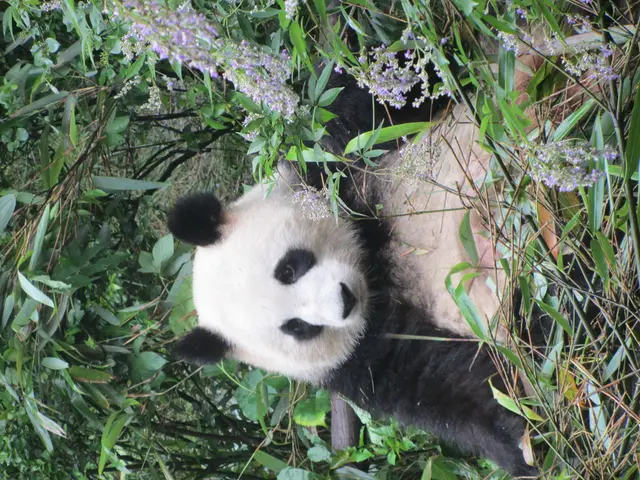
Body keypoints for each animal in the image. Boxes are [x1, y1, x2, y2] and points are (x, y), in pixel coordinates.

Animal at [167, 54, 545, 477]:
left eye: (288, 269)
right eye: (298, 328)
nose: (344, 301)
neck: (371, 265)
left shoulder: (329, 164)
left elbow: (366, 99)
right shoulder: (364, 354)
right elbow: (446, 385)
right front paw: (524, 439)